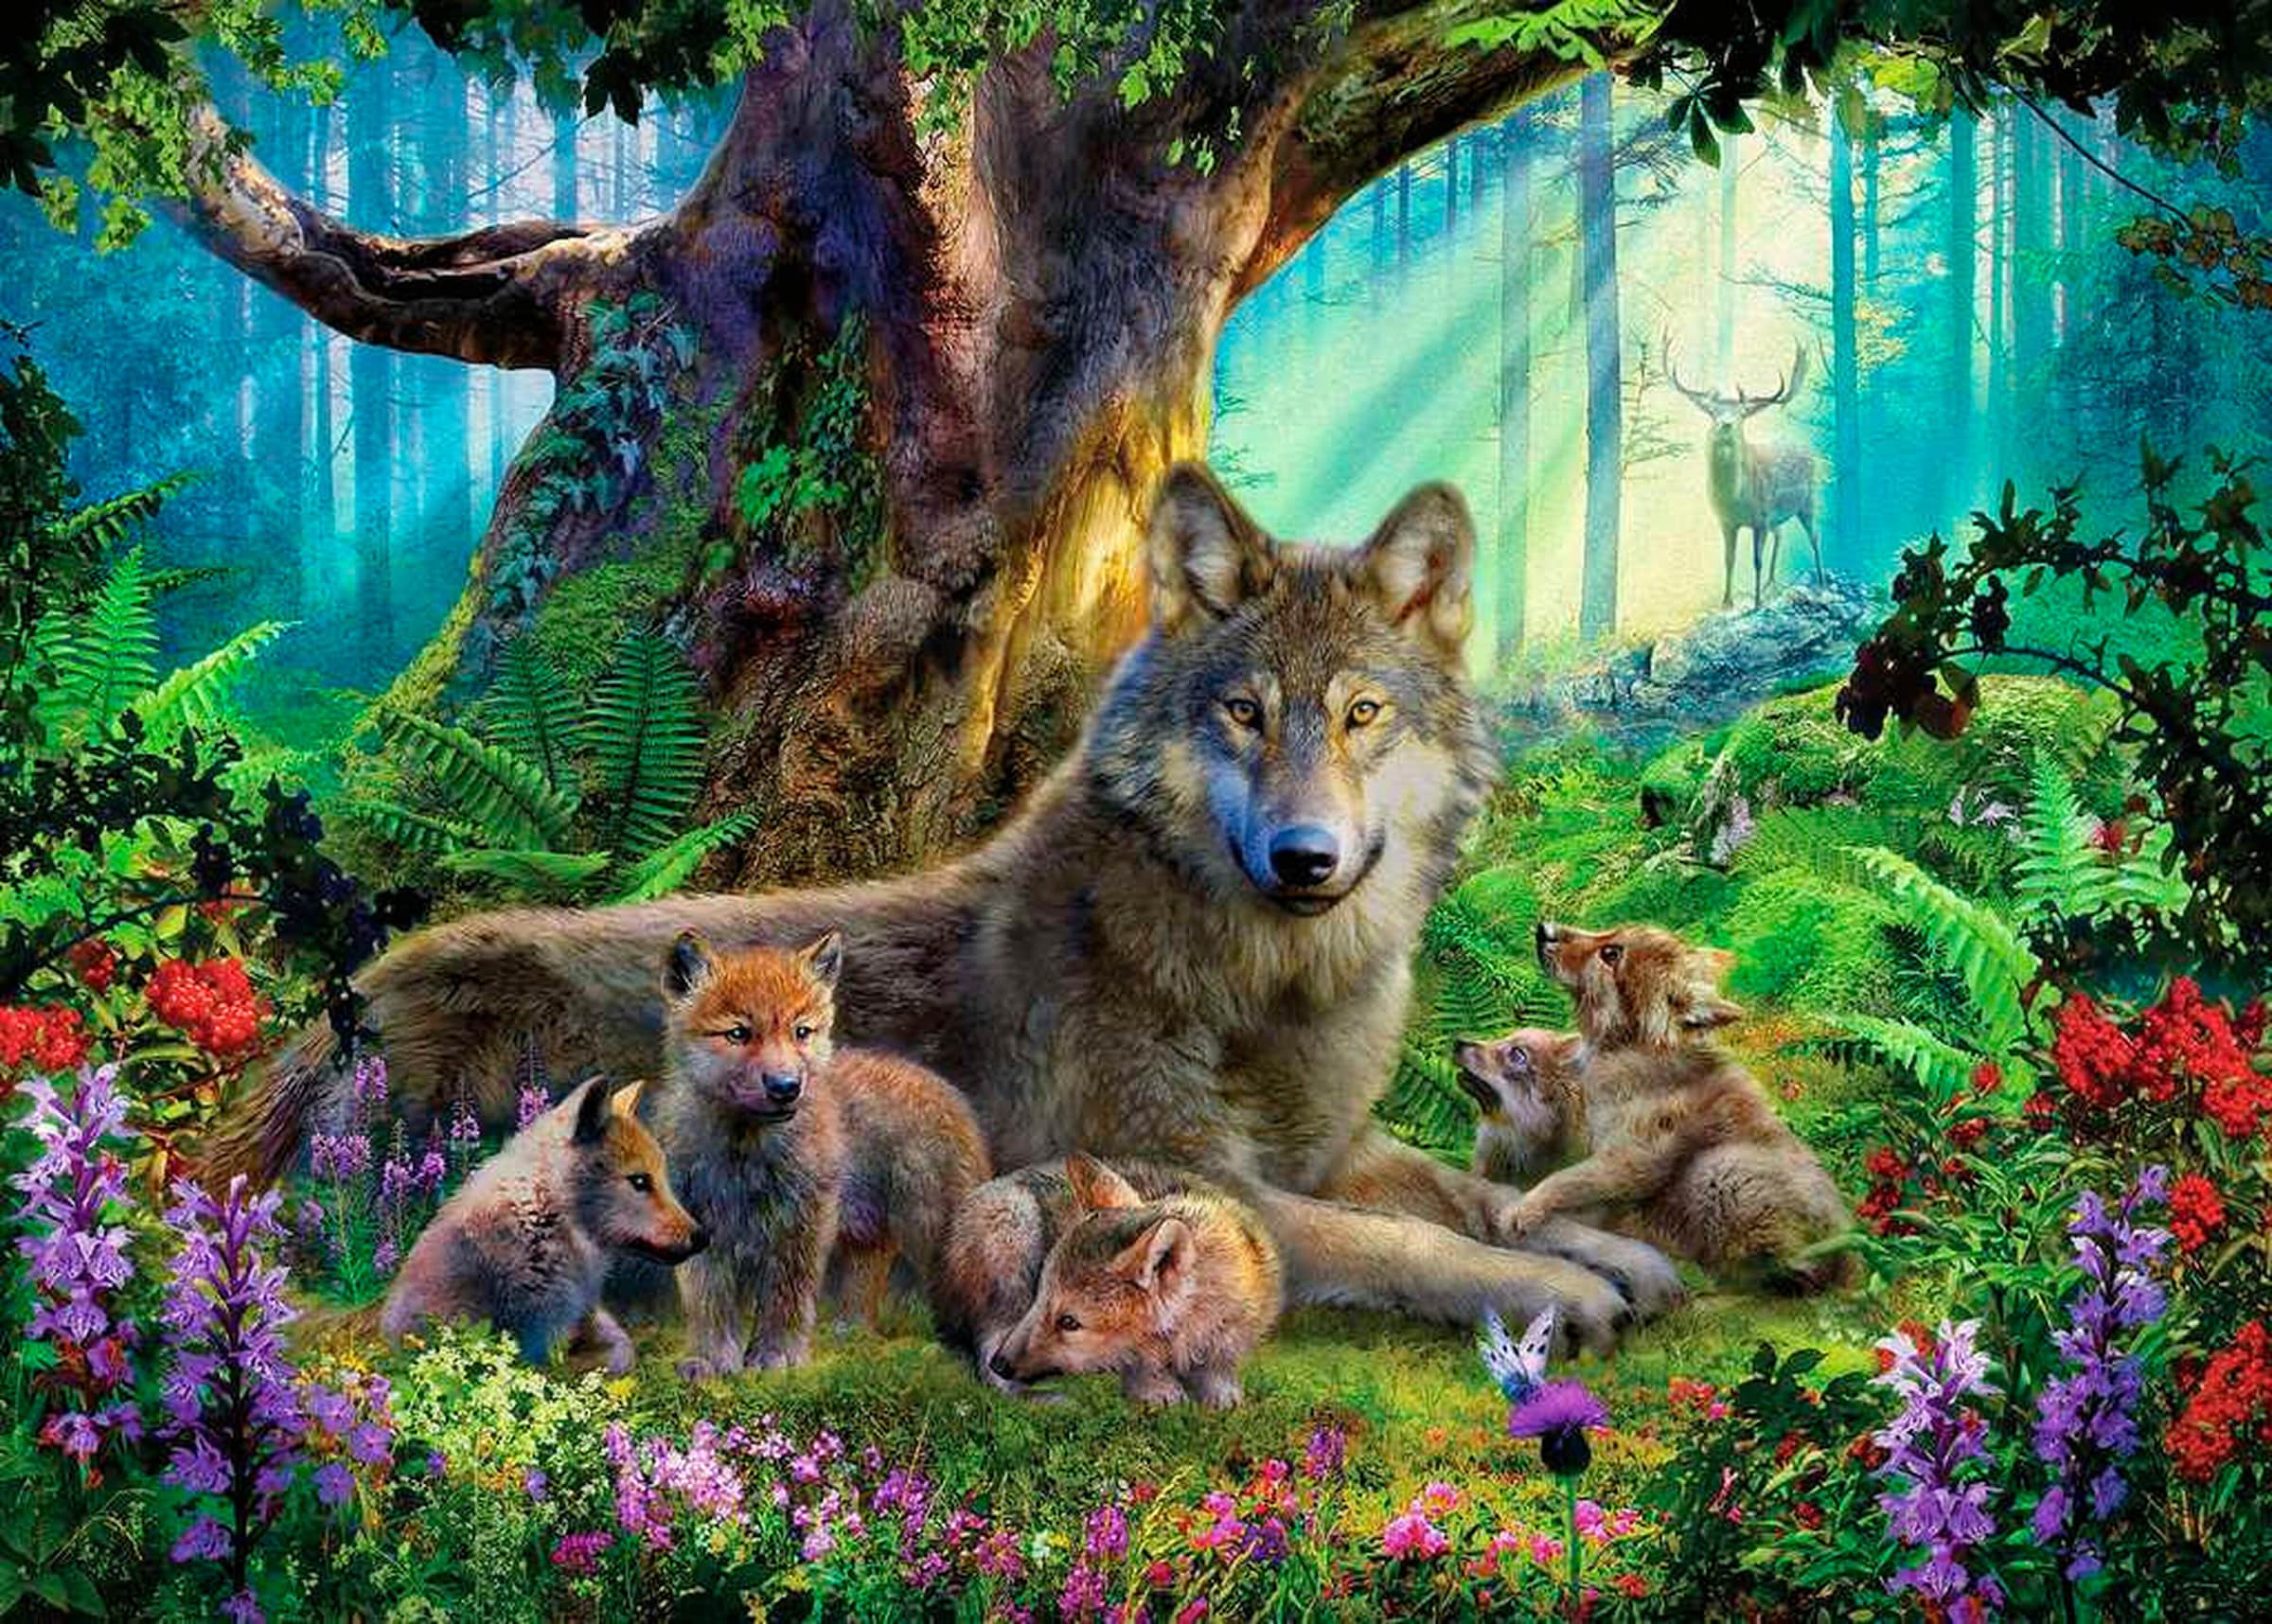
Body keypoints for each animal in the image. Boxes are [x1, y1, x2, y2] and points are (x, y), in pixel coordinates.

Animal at [654, 930, 991, 1375]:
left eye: (801, 1032)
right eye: (738, 1034)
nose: (785, 1086)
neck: (745, 1152)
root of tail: (943, 1088)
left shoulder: (801, 1224)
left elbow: (787, 1296)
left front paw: (776, 1357)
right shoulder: (699, 1221)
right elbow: (708, 1301)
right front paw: (709, 1360)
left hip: (930, 1228)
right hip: (869, 1229)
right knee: (869, 1275)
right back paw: (856, 1332)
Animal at [936, 1153, 1280, 1406]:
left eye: (1069, 1322)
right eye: (1040, 1296)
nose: (1002, 1365)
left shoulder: (1229, 1334)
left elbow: (1217, 1366)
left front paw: (1221, 1397)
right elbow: (1140, 1367)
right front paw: (1158, 1392)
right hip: (1011, 1238)